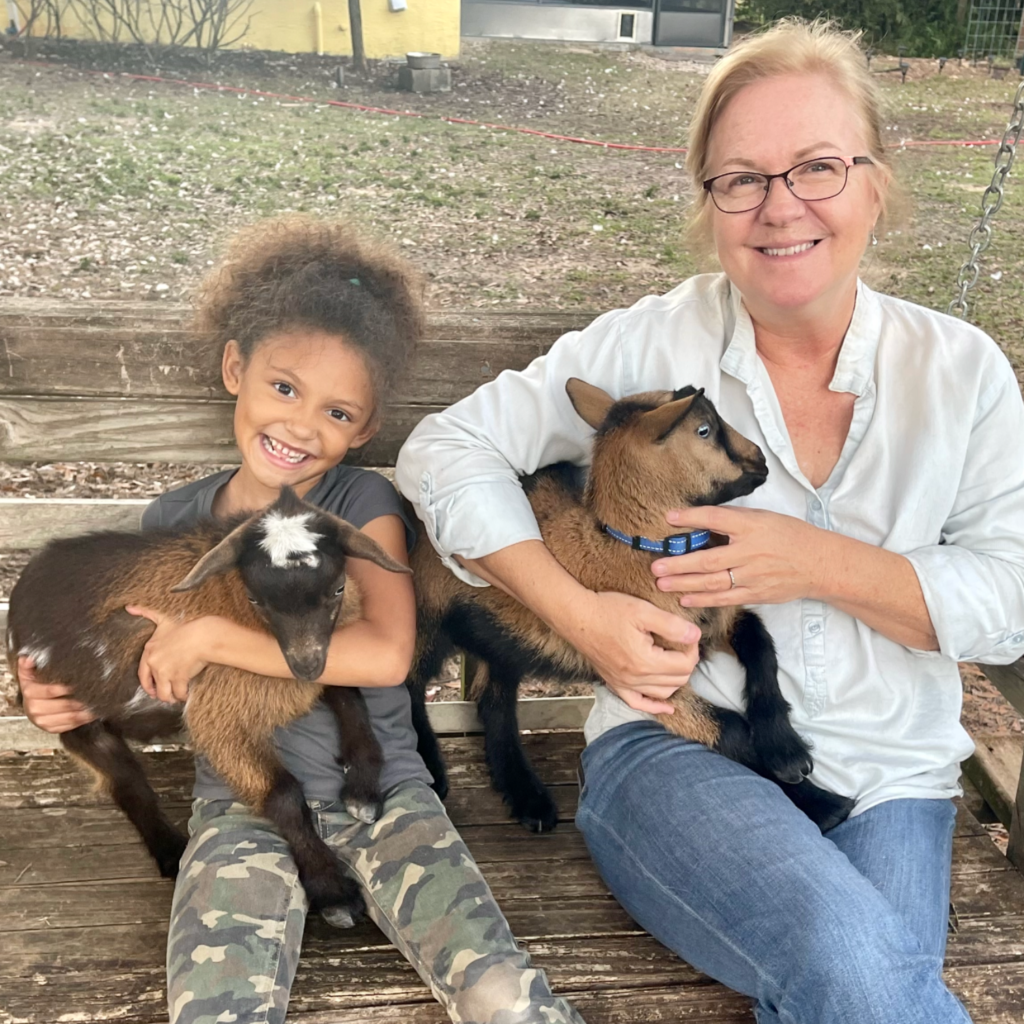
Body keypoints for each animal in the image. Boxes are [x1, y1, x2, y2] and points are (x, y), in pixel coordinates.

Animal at [9, 487, 407, 929]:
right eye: (255, 598)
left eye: (337, 589)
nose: (305, 665)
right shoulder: (217, 712)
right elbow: (284, 795)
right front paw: (332, 891)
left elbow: (349, 696)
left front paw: (363, 787)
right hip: (76, 716)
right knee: (126, 782)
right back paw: (170, 851)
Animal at [407, 380, 856, 835]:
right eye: (705, 430)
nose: (761, 460)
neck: (641, 550)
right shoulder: (651, 677)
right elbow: (731, 731)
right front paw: (824, 804)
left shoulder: (715, 621)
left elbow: (762, 647)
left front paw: (786, 750)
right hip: (425, 614)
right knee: (408, 686)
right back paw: (433, 772)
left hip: (502, 636)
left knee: (492, 699)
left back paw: (528, 798)